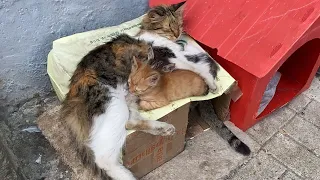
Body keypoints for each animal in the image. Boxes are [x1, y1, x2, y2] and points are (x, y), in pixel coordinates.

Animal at [61, 34, 176, 180]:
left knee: (131, 121)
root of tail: (70, 100)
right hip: (114, 105)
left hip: (123, 104)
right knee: (104, 158)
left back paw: (164, 129)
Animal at [139, 2, 251, 155]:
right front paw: (213, 84)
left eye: (180, 25)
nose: (177, 34)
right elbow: (201, 69)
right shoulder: (177, 57)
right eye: (169, 27)